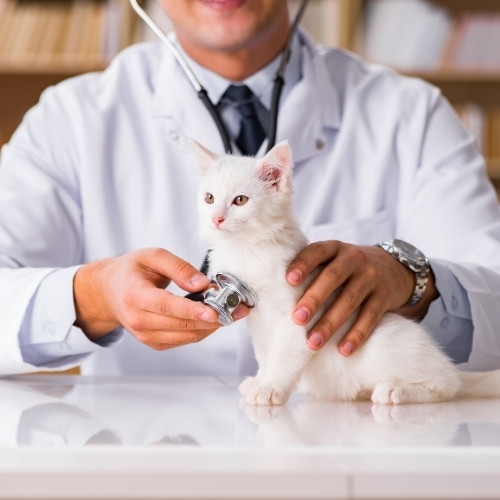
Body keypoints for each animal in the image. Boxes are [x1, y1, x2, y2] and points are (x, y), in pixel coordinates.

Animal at [194, 141, 500, 406]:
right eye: (209, 198)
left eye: (240, 200)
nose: (216, 218)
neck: (246, 249)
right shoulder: (258, 324)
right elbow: (265, 354)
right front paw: (259, 380)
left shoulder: (297, 320)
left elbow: (283, 357)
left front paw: (269, 389)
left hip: (385, 346)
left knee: (447, 385)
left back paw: (395, 391)